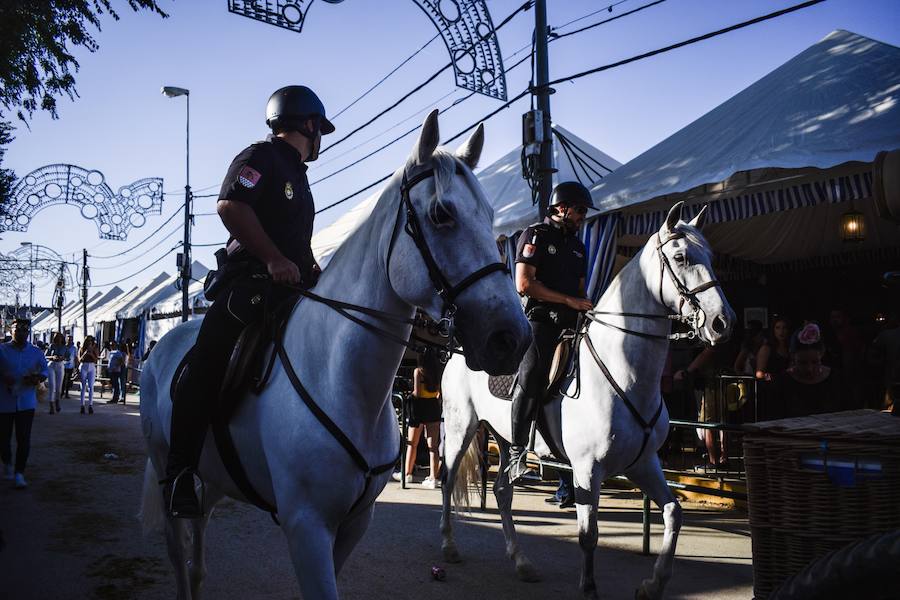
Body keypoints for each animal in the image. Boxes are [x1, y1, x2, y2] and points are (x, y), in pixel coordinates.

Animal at [141, 111, 536, 600]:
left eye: (490, 215)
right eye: (442, 215)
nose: (512, 338)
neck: (339, 379)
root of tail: (163, 347)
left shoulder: (354, 524)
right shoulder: (306, 527)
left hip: (214, 476)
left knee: (198, 549)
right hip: (166, 467)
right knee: (179, 551)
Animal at [440, 203, 736, 600]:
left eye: (712, 257)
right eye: (680, 257)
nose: (723, 323)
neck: (626, 375)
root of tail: (459, 352)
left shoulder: (643, 464)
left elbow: (674, 512)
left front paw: (654, 583)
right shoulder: (586, 469)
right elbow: (588, 535)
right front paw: (590, 587)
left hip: (503, 439)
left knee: (502, 491)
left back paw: (521, 562)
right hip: (461, 430)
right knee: (448, 480)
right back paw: (449, 547)